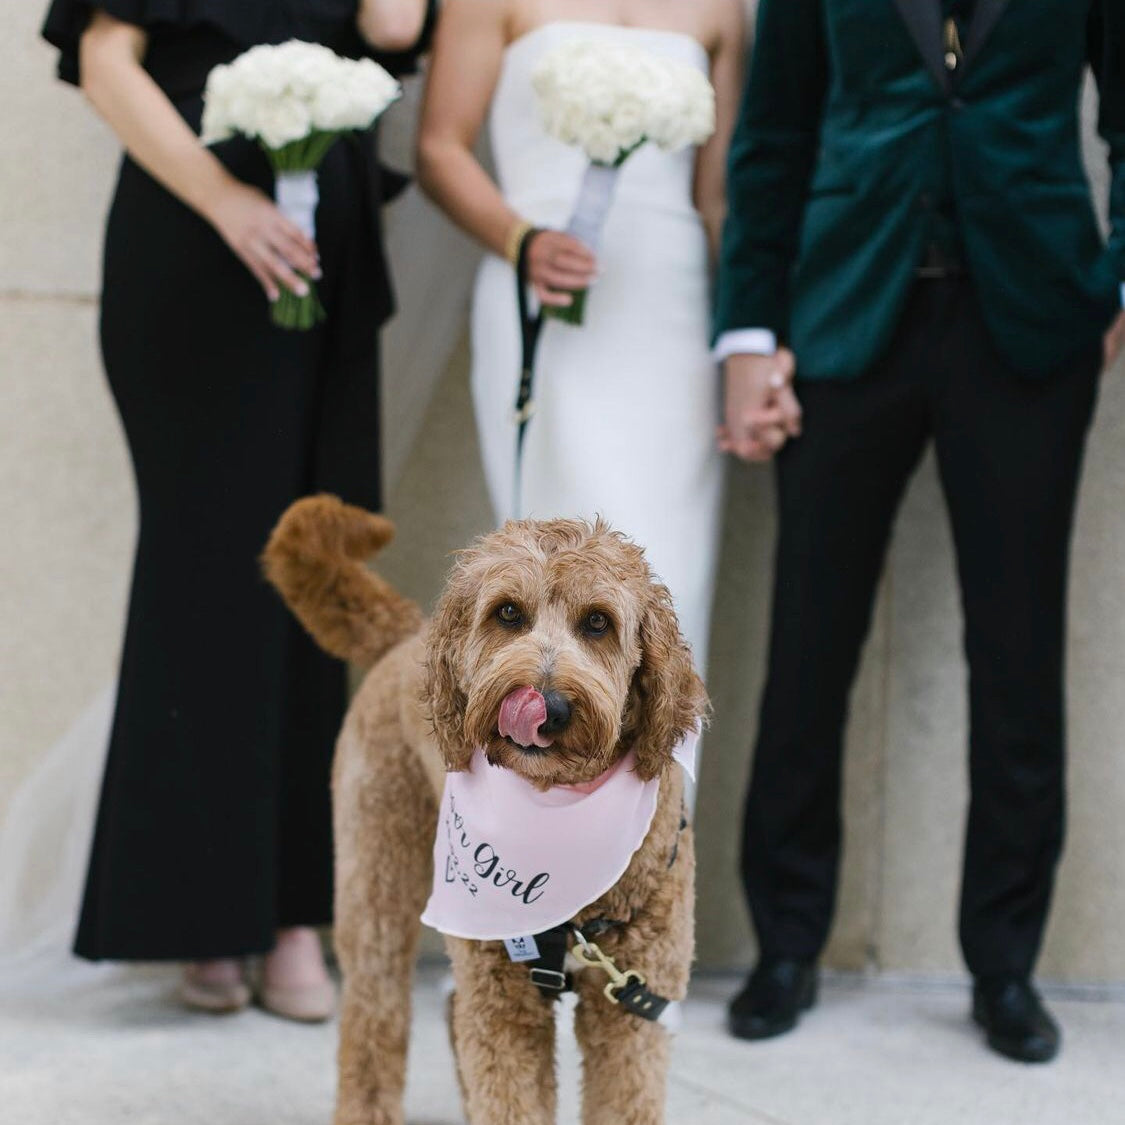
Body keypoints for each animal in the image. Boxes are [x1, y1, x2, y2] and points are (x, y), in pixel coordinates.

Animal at [262, 497, 706, 1120]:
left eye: (598, 622)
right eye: (508, 613)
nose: (546, 704)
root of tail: (407, 635)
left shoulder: (631, 1008)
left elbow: (624, 1098)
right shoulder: (503, 1004)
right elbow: (510, 1097)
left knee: (448, 1013)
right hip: (376, 883)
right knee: (373, 1018)